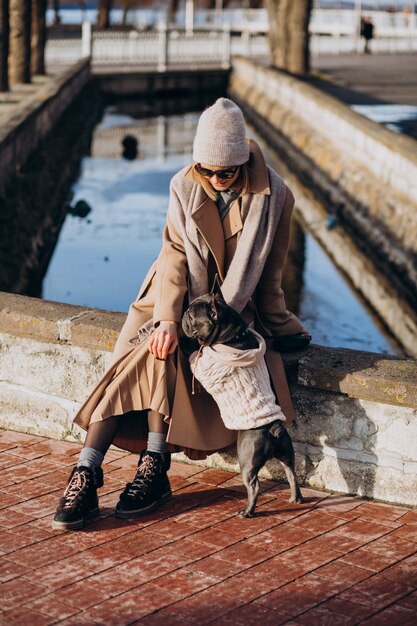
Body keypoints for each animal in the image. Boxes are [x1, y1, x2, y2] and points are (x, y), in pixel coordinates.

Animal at [182, 290, 302, 516]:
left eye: (192, 316)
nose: (184, 314)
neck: (234, 336)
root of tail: (272, 428)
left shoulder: (201, 365)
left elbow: (193, 352)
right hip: (286, 453)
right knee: (292, 473)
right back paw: (295, 498)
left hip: (247, 459)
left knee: (254, 486)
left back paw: (247, 512)